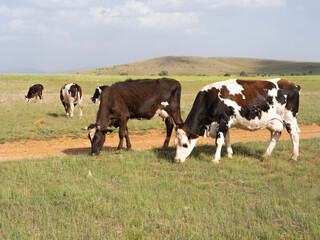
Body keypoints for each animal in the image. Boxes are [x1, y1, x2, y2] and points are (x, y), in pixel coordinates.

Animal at [174, 79, 302, 163]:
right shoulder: (224, 125)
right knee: (275, 135)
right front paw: (229, 154)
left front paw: (215, 159)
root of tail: (292, 84)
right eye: (175, 143)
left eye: (185, 144)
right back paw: (266, 154)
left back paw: (294, 156)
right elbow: (227, 139)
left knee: (294, 135)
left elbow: (219, 141)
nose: (177, 160)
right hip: (275, 121)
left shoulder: (223, 121)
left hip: (289, 118)